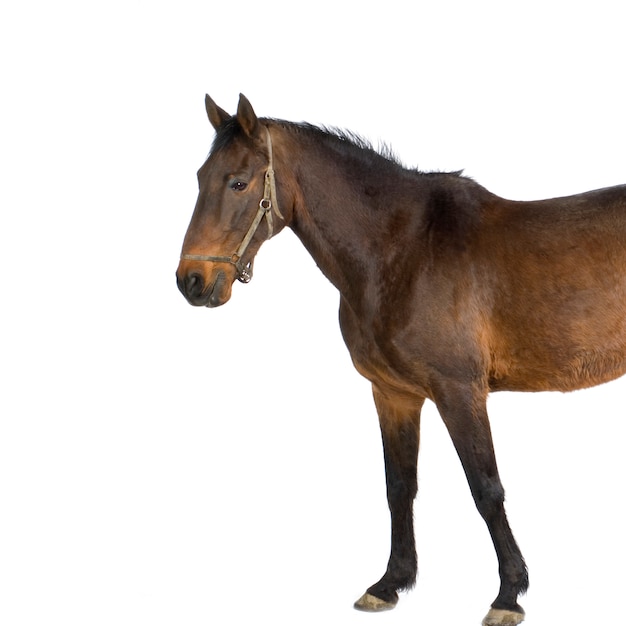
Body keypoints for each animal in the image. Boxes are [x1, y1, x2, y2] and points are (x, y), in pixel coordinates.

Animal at [174, 94, 624, 624]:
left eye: (239, 182)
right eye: (200, 177)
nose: (192, 281)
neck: (403, 251)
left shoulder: (459, 392)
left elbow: (486, 490)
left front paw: (508, 594)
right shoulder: (394, 394)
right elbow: (398, 487)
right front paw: (391, 583)